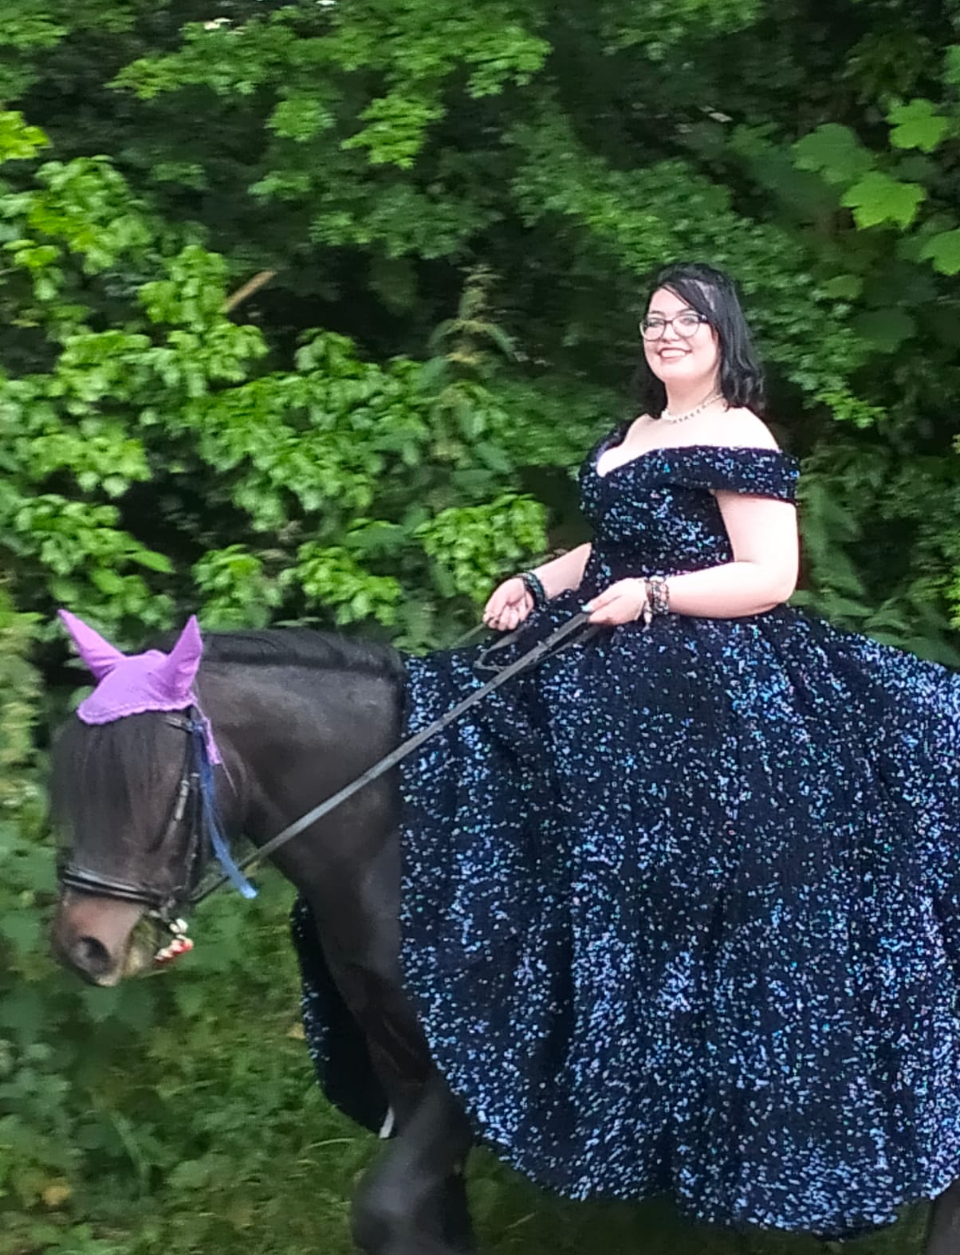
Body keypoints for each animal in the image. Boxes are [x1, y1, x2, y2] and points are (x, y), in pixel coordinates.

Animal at [46, 622, 960, 1249]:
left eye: (152, 785)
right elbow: (432, 1215)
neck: (397, 823)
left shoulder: (482, 1068)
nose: (81, 945)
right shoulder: (398, 1055)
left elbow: (386, 1209)